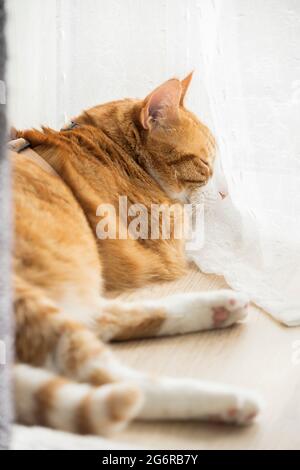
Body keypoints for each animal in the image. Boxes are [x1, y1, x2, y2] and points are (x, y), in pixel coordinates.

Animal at [12, 74, 260, 436]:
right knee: (117, 381)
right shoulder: (166, 245)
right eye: (204, 164)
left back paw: (218, 308)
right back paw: (229, 400)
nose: (227, 193)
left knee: (100, 319)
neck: (114, 149)